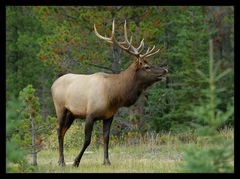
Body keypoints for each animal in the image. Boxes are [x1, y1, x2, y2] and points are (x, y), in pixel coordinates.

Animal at [51, 20, 168, 167]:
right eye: (147, 67)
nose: (165, 70)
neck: (114, 96)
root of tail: (53, 84)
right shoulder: (90, 114)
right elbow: (87, 140)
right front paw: (76, 162)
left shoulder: (108, 116)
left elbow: (106, 138)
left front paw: (106, 161)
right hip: (60, 108)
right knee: (59, 131)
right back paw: (61, 161)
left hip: (72, 114)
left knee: (63, 131)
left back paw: (60, 160)